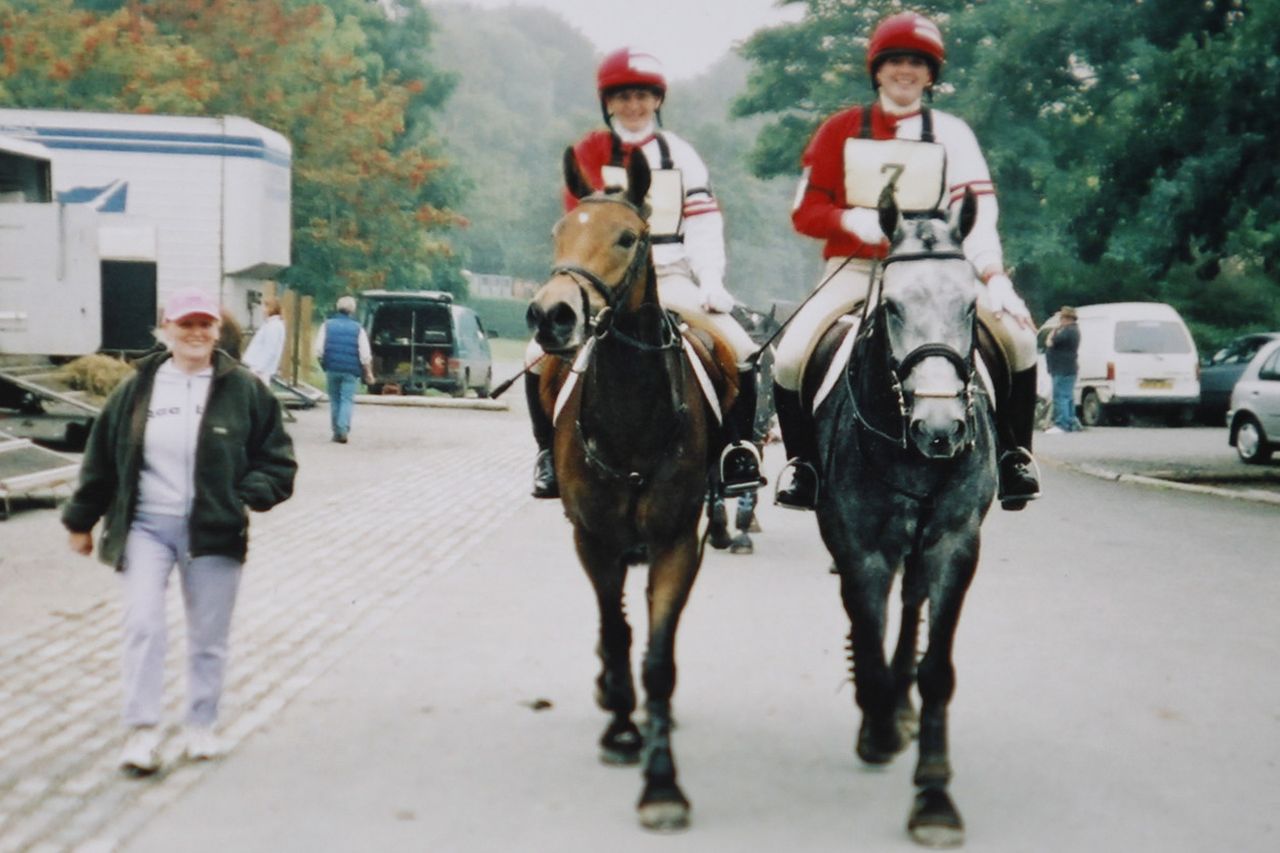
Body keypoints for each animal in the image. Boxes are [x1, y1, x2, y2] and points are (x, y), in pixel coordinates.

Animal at [524, 149, 716, 824]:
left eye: (628, 237)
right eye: (559, 231)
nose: (551, 315)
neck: (634, 413)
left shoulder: (677, 544)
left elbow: (657, 656)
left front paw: (662, 782)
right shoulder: (595, 541)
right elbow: (616, 629)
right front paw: (624, 730)